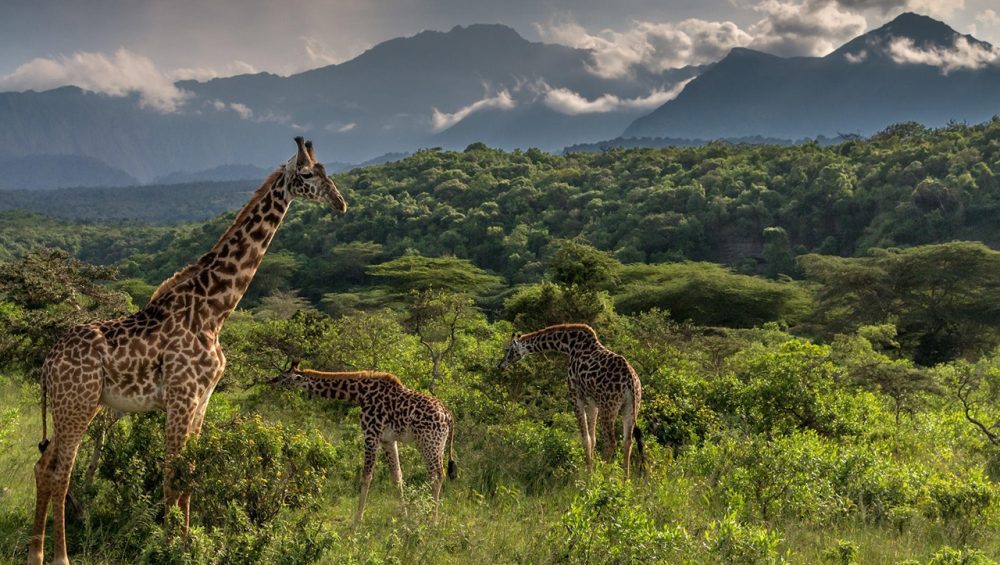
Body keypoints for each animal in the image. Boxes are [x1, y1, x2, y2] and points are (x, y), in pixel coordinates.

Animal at [29, 137, 346, 565]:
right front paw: (166, 548)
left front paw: (186, 542)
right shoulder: (182, 396)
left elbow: (190, 475)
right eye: (309, 174)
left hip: (79, 404)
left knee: (44, 467)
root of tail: (47, 363)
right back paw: (59, 556)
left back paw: (36, 553)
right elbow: (170, 475)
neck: (214, 310)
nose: (340, 203)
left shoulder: (202, 399)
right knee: (61, 472)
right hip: (77, 403)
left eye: (328, 171)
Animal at [268, 362, 457, 523]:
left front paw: (356, 521)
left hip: (429, 443)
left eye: (284, 376)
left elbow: (366, 476)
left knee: (437, 475)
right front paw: (403, 518)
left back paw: (432, 522)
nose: (271, 381)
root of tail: (448, 416)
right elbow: (397, 476)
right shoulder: (387, 439)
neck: (361, 394)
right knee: (436, 475)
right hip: (439, 444)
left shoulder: (370, 434)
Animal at [497, 323, 644, 479]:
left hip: (609, 407)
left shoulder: (575, 395)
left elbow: (585, 438)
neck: (569, 345)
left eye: (508, 350)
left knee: (611, 442)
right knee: (627, 441)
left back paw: (604, 477)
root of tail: (630, 380)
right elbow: (593, 438)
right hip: (631, 407)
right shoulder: (593, 401)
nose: (500, 365)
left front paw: (589, 475)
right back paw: (625, 480)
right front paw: (591, 469)